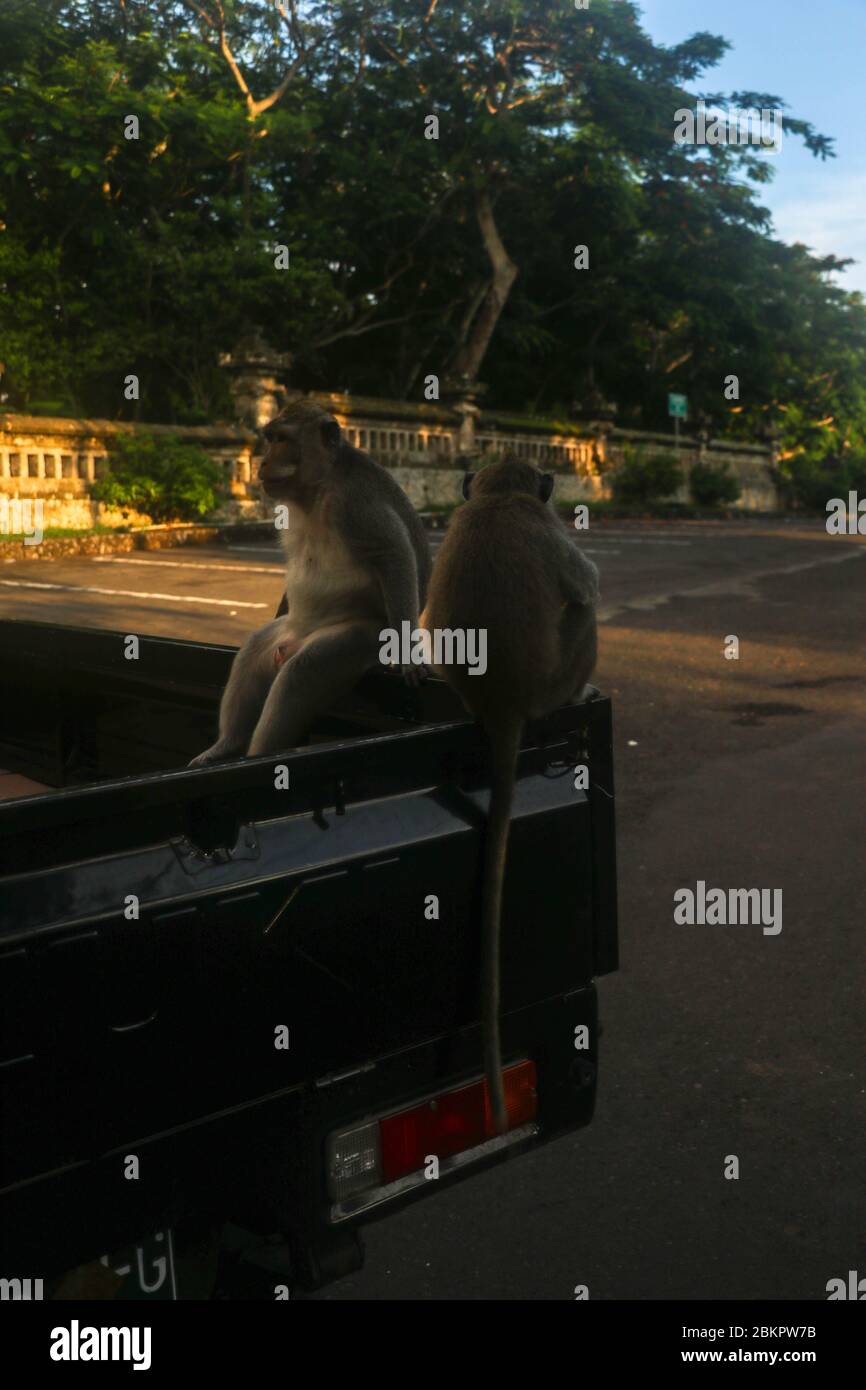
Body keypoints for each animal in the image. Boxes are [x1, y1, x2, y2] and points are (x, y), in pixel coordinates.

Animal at [191, 403, 430, 767]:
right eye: (270, 439)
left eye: (282, 440)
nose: (263, 462)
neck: (318, 489)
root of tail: (295, 641)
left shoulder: (355, 503)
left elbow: (393, 554)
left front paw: (409, 652)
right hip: (287, 630)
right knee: (253, 650)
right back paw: (228, 745)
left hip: (363, 637)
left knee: (301, 673)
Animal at [419, 461, 594, 1134]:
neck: (499, 498)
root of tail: (504, 701)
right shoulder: (550, 529)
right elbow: (589, 585)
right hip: (562, 672)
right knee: (584, 612)